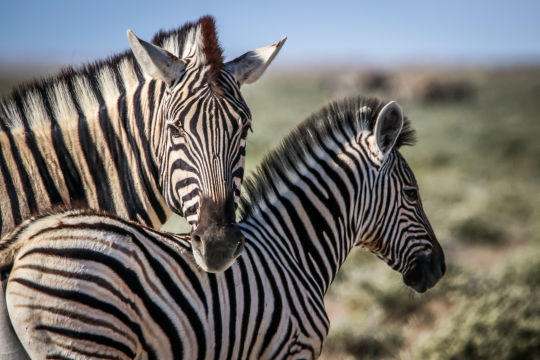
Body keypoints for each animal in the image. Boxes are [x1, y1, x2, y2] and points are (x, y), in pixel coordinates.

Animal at [2, 96, 446, 360]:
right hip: (86, 339)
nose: (439, 268)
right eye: (411, 192)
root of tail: (28, 238)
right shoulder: (291, 351)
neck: (294, 252)